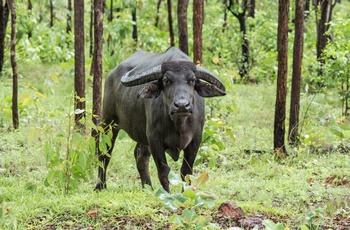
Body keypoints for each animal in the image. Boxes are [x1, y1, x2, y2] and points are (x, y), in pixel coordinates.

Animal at [95, 46, 226, 192]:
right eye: (166, 80)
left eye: (192, 80)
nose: (182, 105)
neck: (179, 125)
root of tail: (111, 76)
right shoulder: (154, 139)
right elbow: (164, 171)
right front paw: (166, 193)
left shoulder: (195, 140)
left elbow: (186, 171)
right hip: (108, 122)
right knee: (104, 153)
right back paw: (100, 185)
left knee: (140, 156)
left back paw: (147, 187)